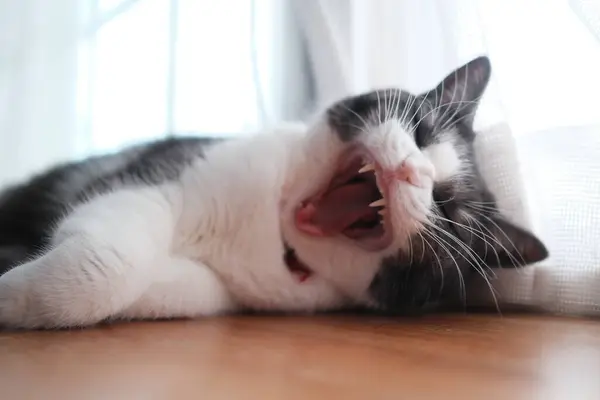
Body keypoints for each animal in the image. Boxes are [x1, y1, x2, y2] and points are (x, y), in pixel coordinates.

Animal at [0, 57, 548, 332]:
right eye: (421, 130)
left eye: (449, 211)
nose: (412, 170)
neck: (272, 230)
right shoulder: (149, 182)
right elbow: (108, 266)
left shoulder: (214, 289)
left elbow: (123, 282)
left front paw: (17, 296)